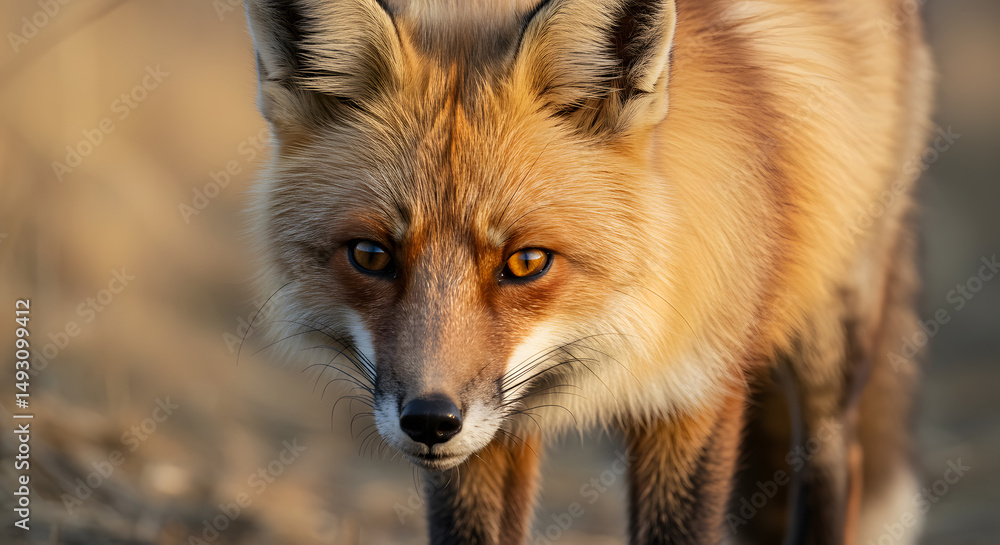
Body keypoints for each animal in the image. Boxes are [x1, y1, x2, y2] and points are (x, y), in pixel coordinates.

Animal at [243, 0, 933, 543]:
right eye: (371, 255)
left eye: (526, 262)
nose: (431, 421)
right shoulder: (490, 435)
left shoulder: (696, 390)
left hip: (830, 332)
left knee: (835, 462)